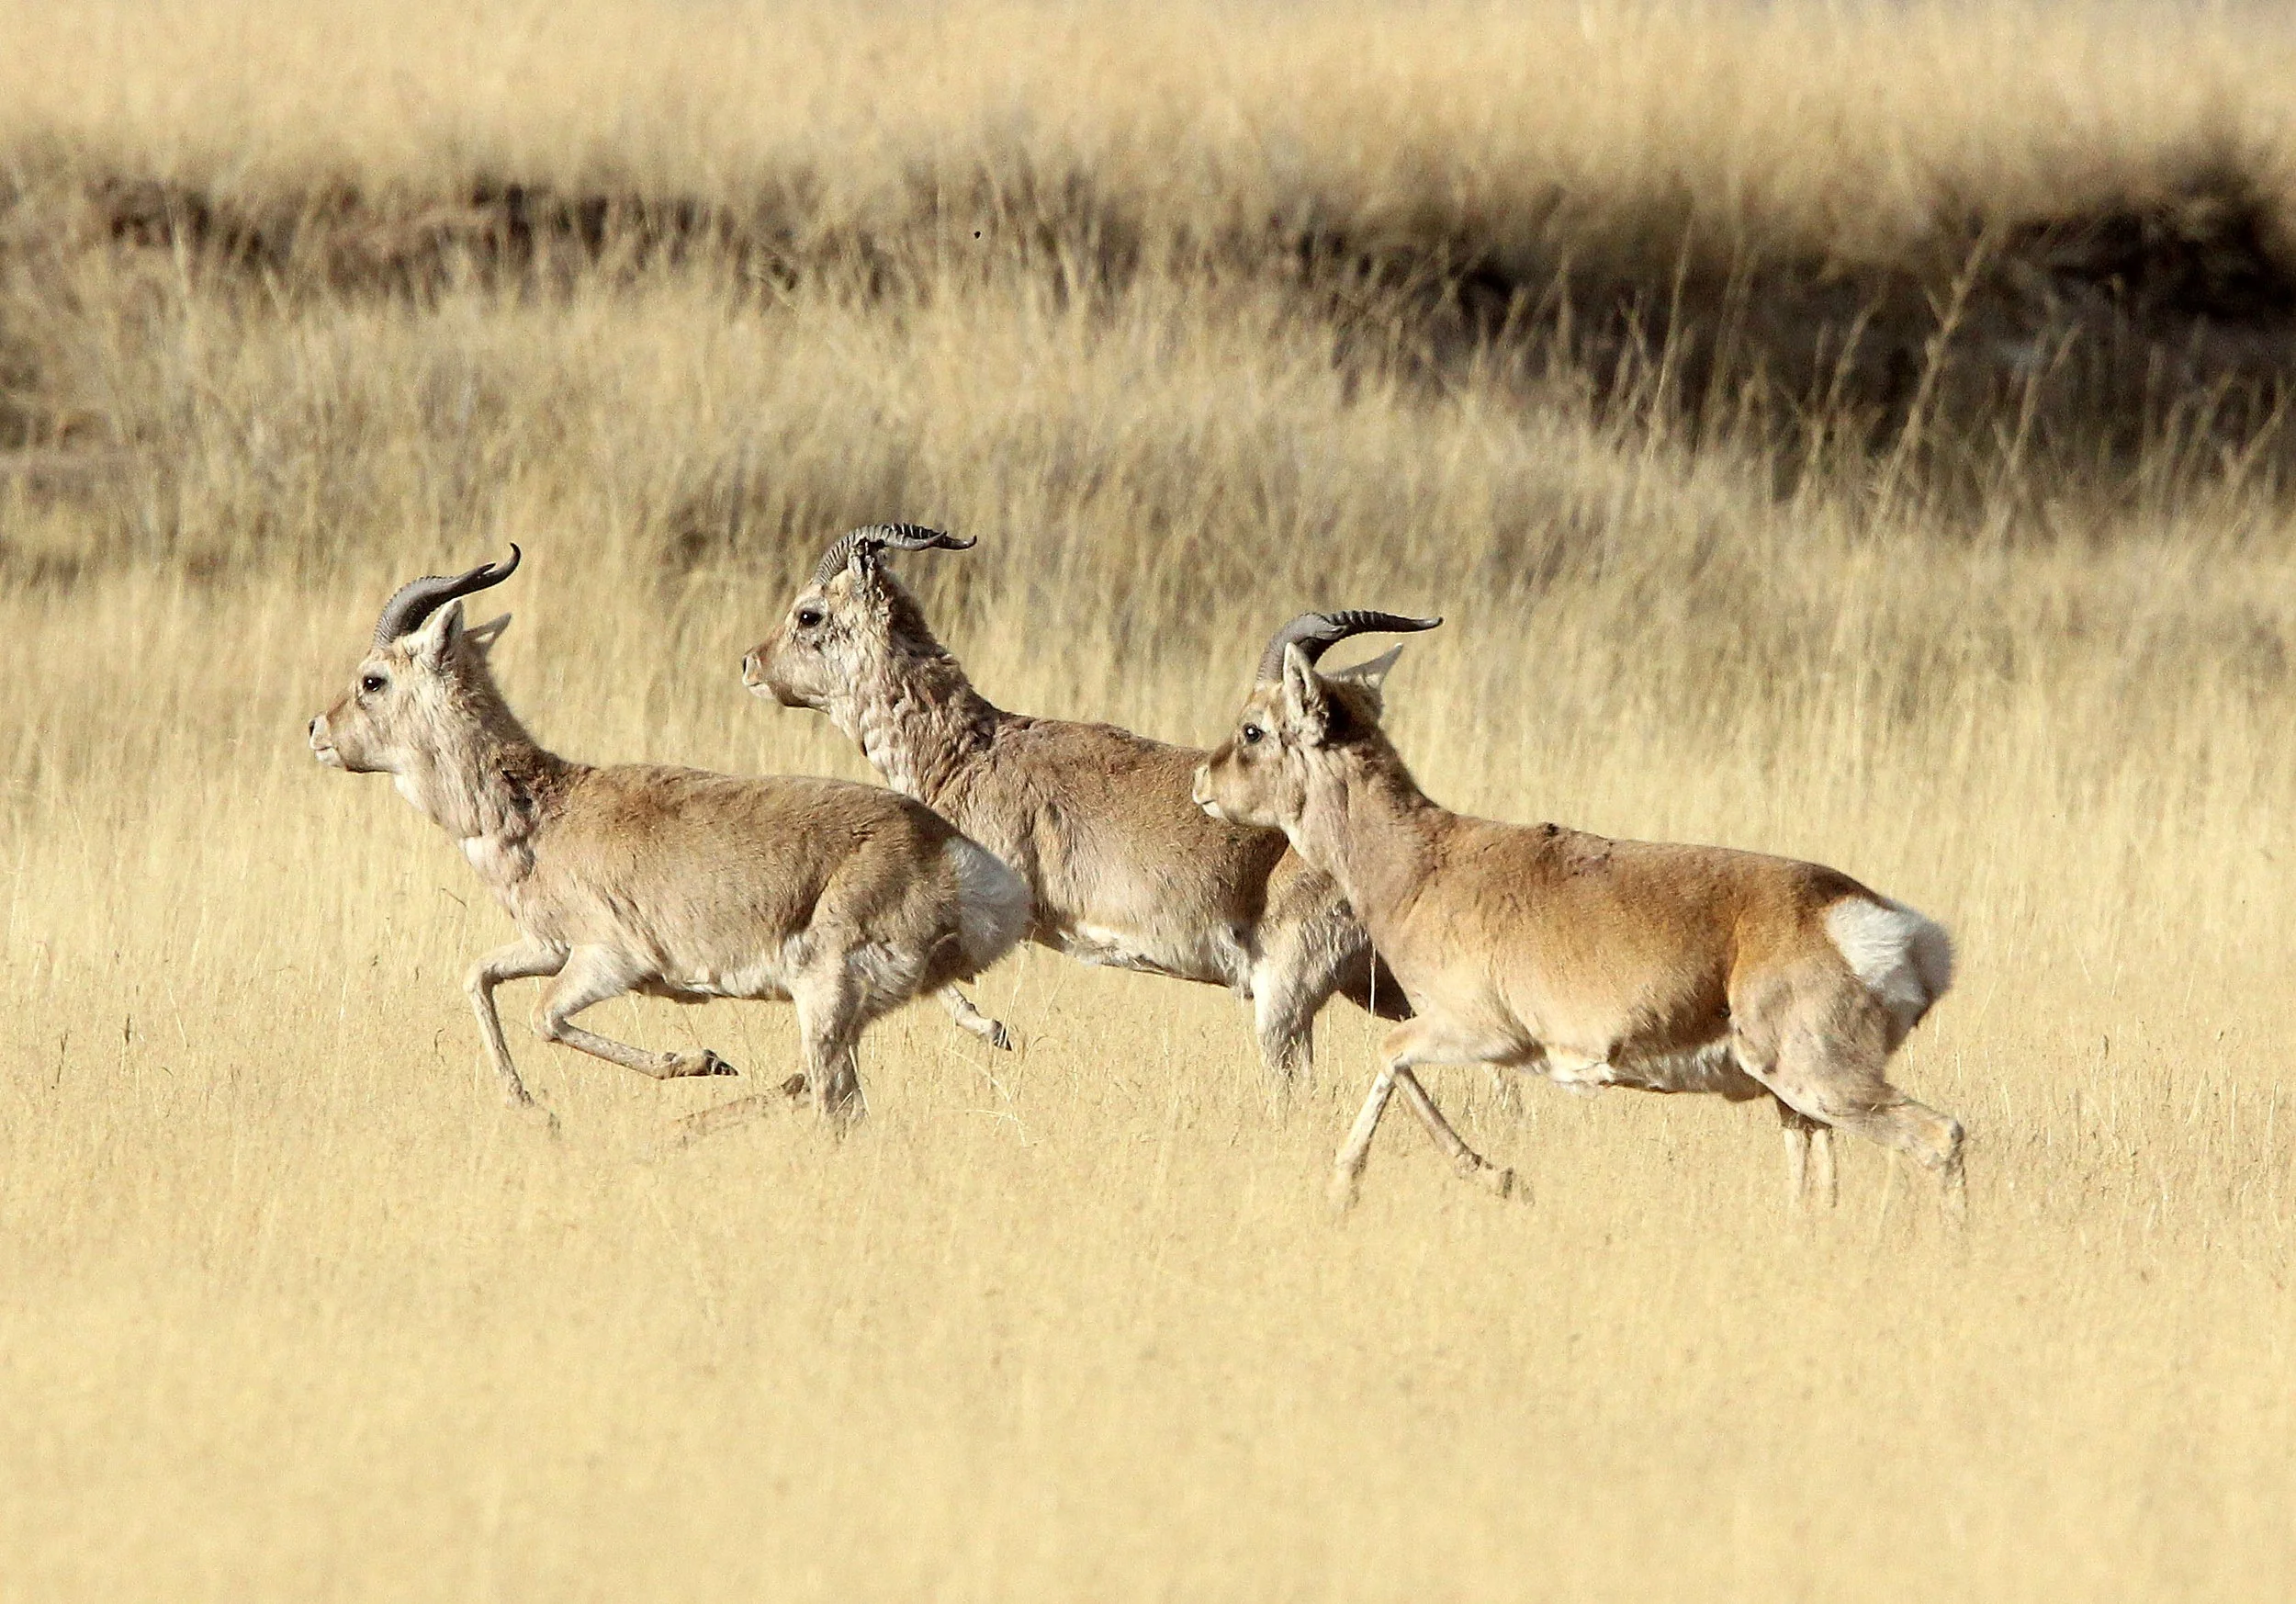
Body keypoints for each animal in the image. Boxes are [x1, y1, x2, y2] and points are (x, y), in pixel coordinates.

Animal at [307, 548, 1031, 1138]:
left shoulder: (607, 961)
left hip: (824, 1000)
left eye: (372, 679)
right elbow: (477, 977)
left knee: (837, 1105)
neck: (546, 810)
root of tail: (961, 858)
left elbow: (546, 1018)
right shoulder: (546, 947)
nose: (316, 730)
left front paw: (702, 1060)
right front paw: (532, 1107)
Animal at [1192, 612, 1965, 1211]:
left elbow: (1390, 1060)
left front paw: (1485, 1177)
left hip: (1820, 1081)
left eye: (1254, 728)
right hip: (1792, 1098)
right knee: (1819, 1188)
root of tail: (1897, 931)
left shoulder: (1480, 1035)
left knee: (1943, 1138)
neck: (1430, 860)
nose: (1202, 781)